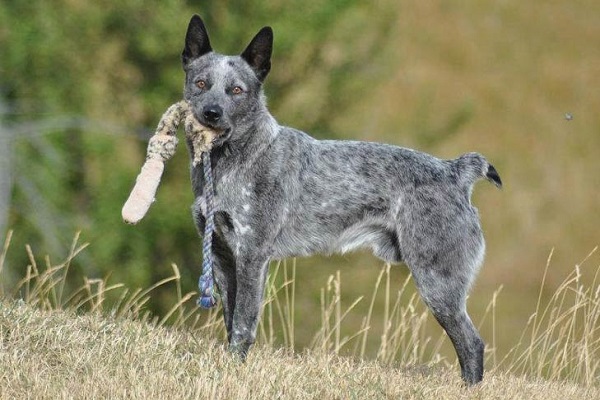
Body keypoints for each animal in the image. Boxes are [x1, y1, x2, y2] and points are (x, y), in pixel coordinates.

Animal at [180, 14, 500, 384]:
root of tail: (455, 171)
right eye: (201, 83)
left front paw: (234, 371)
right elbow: (231, 321)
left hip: (438, 285)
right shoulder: (221, 255)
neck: (232, 161)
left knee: (472, 344)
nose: (211, 113)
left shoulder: (252, 255)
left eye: (236, 90)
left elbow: (244, 323)